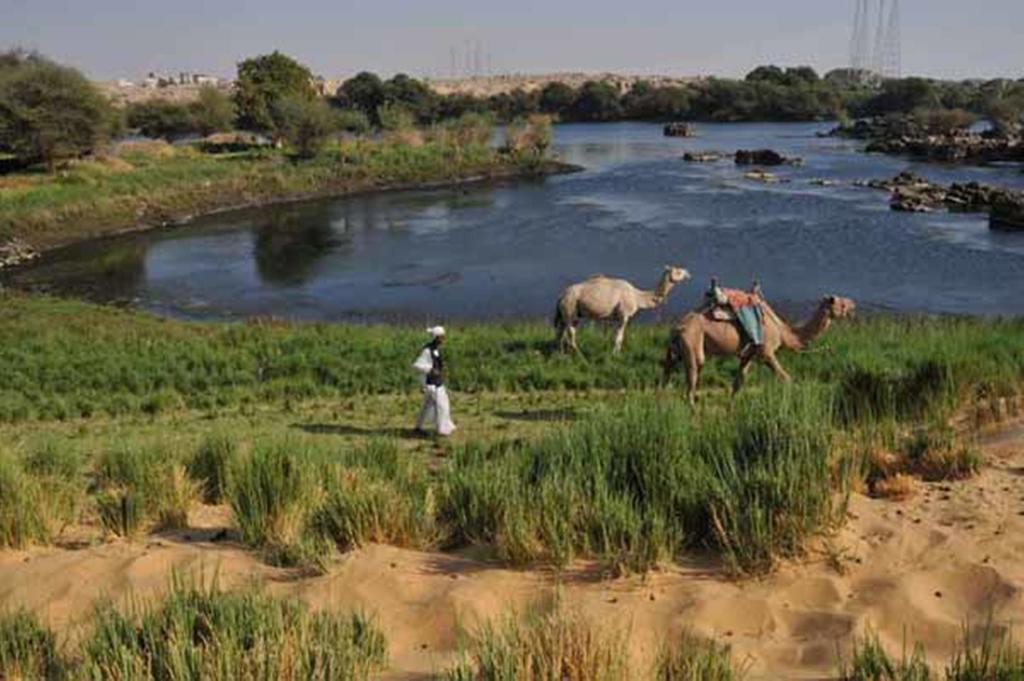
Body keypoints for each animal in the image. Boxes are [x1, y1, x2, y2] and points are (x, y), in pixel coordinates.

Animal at [552, 264, 688, 352]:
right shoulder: (624, 315)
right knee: (570, 332)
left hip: (569, 312)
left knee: (560, 332)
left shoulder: (617, 317)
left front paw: (615, 353)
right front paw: (615, 355)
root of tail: (561, 296)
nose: (688, 273)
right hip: (570, 309)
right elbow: (619, 337)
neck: (637, 297)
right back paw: (578, 354)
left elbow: (616, 336)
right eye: (678, 271)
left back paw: (560, 353)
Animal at [663, 292, 856, 403]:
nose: (853, 304)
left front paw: (730, 412)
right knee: (692, 379)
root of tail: (677, 327)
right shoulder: (766, 353)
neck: (783, 331)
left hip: (676, 349)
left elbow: (738, 384)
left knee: (667, 376)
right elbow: (786, 378)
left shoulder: (748, 354)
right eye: (841, 303)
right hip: (692, 341)